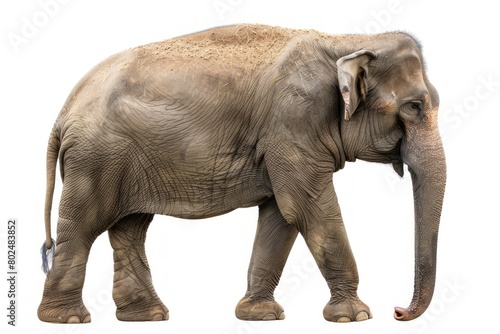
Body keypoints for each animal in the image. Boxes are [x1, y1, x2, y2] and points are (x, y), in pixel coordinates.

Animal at [38, 24, 446, 324]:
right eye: (413, 107)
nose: (398, 311)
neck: (347, 40)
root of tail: (63, 111)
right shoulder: (293, 125)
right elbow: (306, 207)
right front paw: (355, 316)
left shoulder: (284, 141)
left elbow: (281, 215)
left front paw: (259, 315)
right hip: (95, 158)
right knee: (84, 225)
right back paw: (67, 319)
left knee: (130, 228)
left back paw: (147, 316)